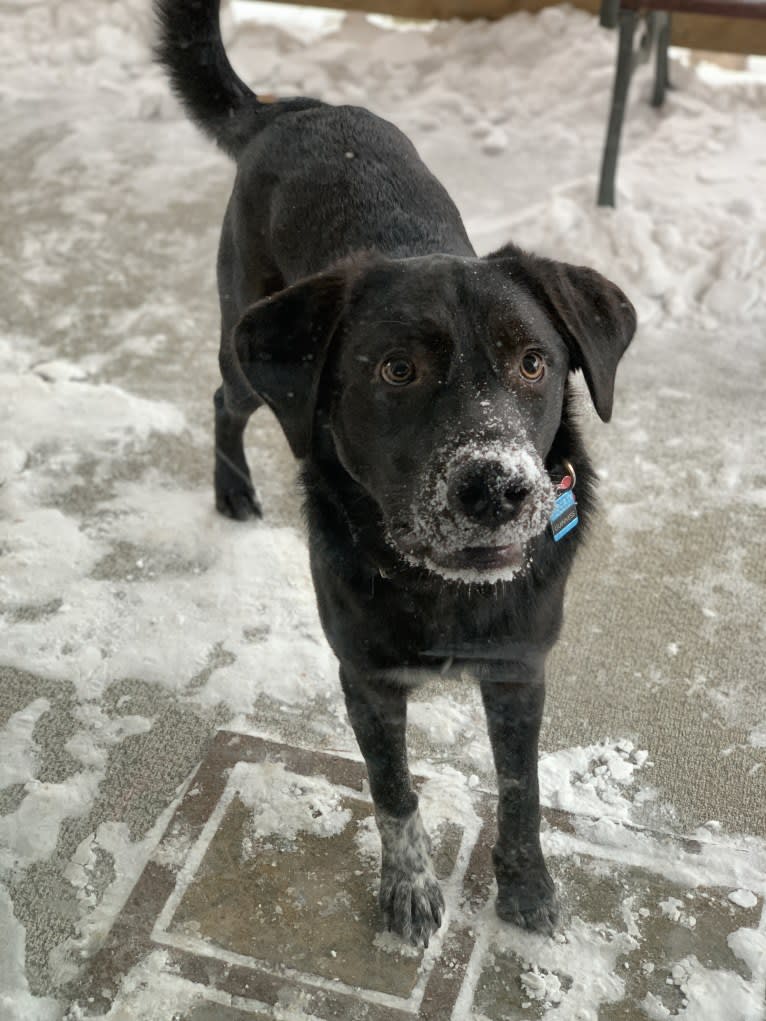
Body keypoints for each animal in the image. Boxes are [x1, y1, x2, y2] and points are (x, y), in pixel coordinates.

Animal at [154, 0, 637, 947]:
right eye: (396, 370)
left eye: (533, 361)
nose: (497, 488)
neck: (441, 587)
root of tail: (296, 111)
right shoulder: (367, 676)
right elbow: (394, 791)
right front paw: (409, 890)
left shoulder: (520, 666)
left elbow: (520, 789)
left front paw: (526, 884)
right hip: (248, 346)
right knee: (225, 397)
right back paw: (233, 495)